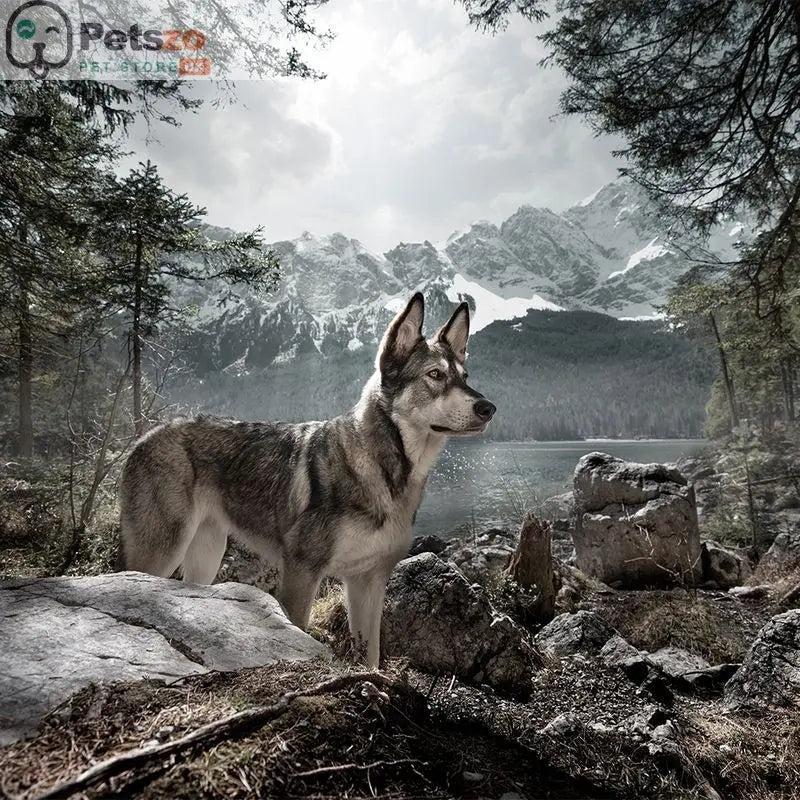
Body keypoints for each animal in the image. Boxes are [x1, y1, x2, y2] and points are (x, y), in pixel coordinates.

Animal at [118, 293, 495, 667]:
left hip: (206, 558)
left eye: (465, 376)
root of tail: (144, 438)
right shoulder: (301, 573)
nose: (489, 408)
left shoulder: (368, 581)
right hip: (162, 553)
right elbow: (299, 631)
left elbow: (370, 656)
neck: (385, 471)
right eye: (435, 375)